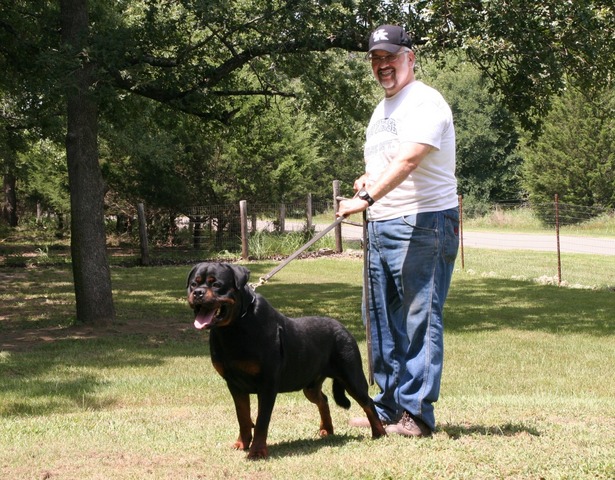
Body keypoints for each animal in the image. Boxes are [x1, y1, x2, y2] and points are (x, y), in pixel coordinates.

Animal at [186, 264, 384, 460]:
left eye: (216, 284)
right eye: (193, 284)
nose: (197, 293)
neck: (233, 328)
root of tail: (343, 327)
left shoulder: (267, 384)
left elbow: (261, 421)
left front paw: (257, 451)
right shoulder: (234, 384)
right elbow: (243, 417)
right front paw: (241, 443)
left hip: (351, 375)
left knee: (368, 402)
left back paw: (379, 432)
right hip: (310, 385)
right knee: (323, 399)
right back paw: (327, 430)